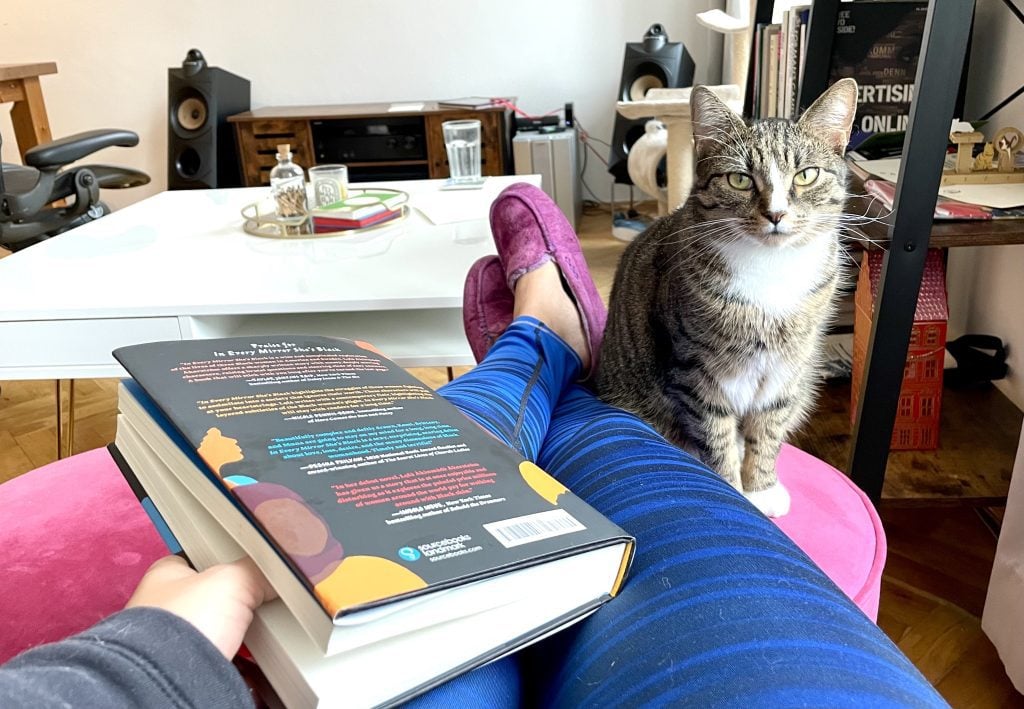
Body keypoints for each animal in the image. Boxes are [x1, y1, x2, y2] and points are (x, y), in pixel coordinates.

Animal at [598, 80, 860, 518]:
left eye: (806, 175)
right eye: (739, 180)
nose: (776, 214)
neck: (771, 270)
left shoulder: (786, 372)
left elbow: (767, 432)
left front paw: (762, 488)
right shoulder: (696, 372)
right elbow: (716, 439)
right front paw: (736, 493)